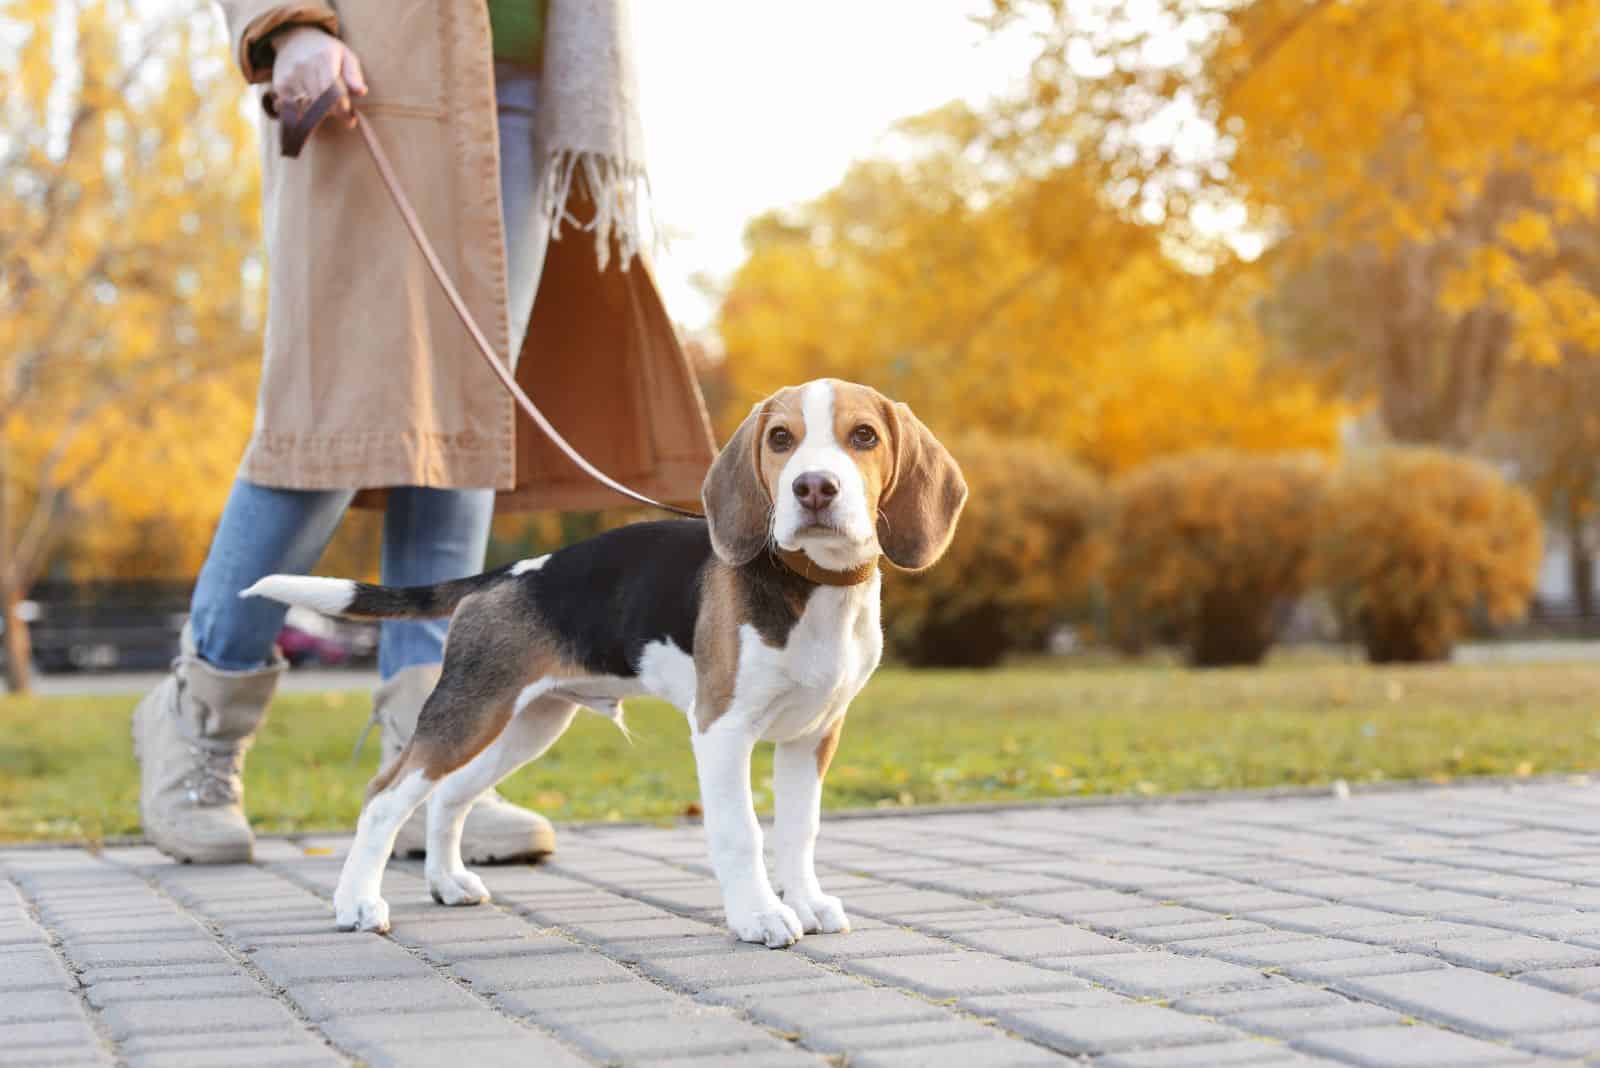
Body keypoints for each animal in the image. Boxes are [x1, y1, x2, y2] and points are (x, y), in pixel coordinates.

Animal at [238, 378, 960, 946]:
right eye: (781, 439)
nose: (814, 488)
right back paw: (357, 902)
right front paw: (759, 917)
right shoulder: (722, 731)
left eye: (864, 436)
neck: (814, 584)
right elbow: (744, 832)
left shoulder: (813, 734)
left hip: (520, 725)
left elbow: (799, 831)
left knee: (445, 795)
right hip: (467, 714)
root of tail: (502, 575)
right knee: (384, 796)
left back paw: (447, 882)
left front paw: (806, 903)